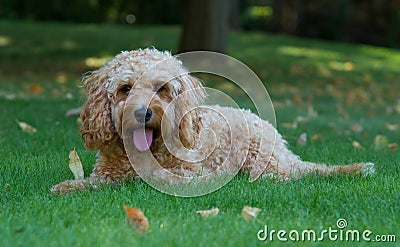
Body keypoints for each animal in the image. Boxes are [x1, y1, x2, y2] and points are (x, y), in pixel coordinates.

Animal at [50, 47, 376, 194]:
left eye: (161, 89)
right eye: (125, 89)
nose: (143, 113)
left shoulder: (186, 173)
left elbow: (155, 179)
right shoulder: (106, 174)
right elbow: (95, 182)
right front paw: (68, 186)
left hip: (262, 158)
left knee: (291, 174)